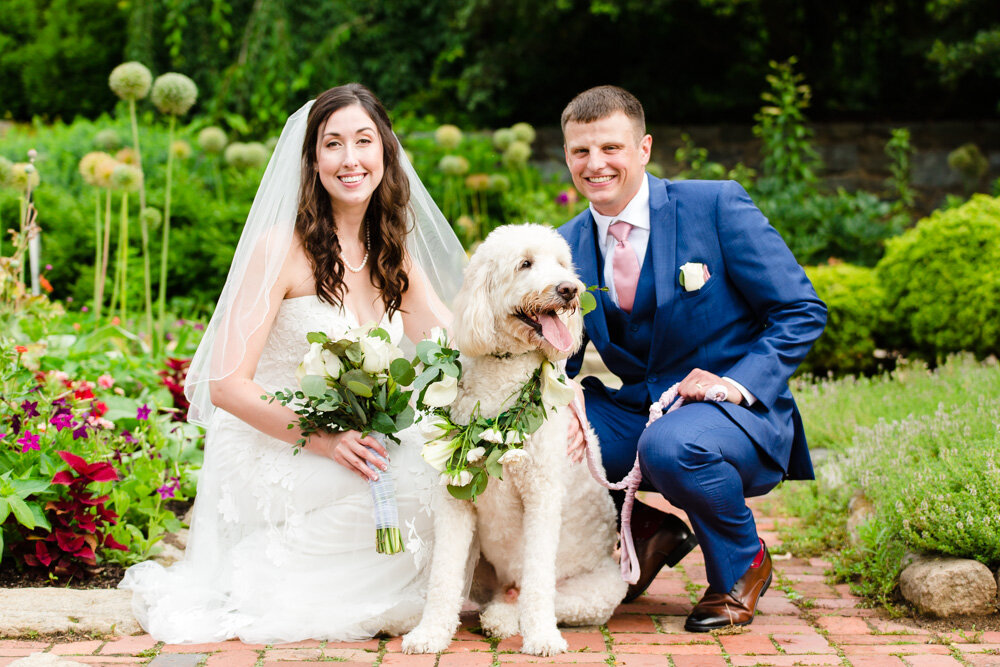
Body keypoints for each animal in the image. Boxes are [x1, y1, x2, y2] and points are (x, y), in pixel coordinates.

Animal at [404, 224, 624, 656]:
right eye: (525, 264)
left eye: (562, 263)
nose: (569, 289)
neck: (506, 371)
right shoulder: (455, 500)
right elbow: (443, 576)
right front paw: (430, 633)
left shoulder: (542, 495)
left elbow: (538, 581)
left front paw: (542, 639)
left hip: (603, 589)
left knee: (542, 598)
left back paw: (506, 620)